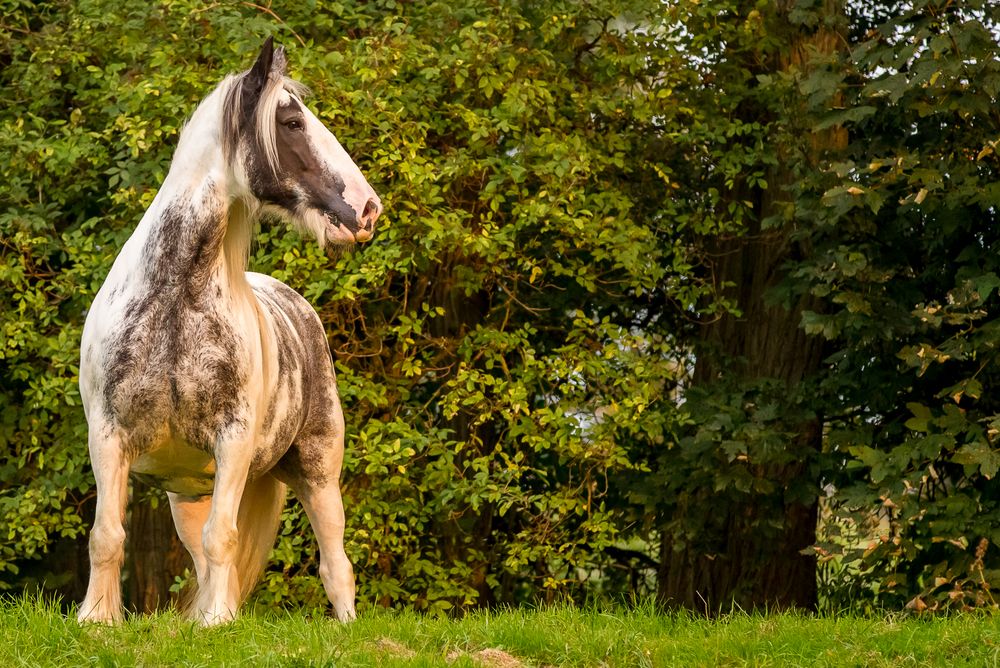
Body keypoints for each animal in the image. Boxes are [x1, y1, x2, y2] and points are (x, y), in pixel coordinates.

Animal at [77, 37, 378, 628]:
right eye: (291, 121)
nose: (368, 208)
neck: (174, 305)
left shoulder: (233, 441)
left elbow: (225, 538)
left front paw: (217, 624)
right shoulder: (108, 435)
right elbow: (107, 536)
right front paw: (98, 620)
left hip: (317, 471)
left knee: (335, 562)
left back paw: (348, 627)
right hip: (188, 495)